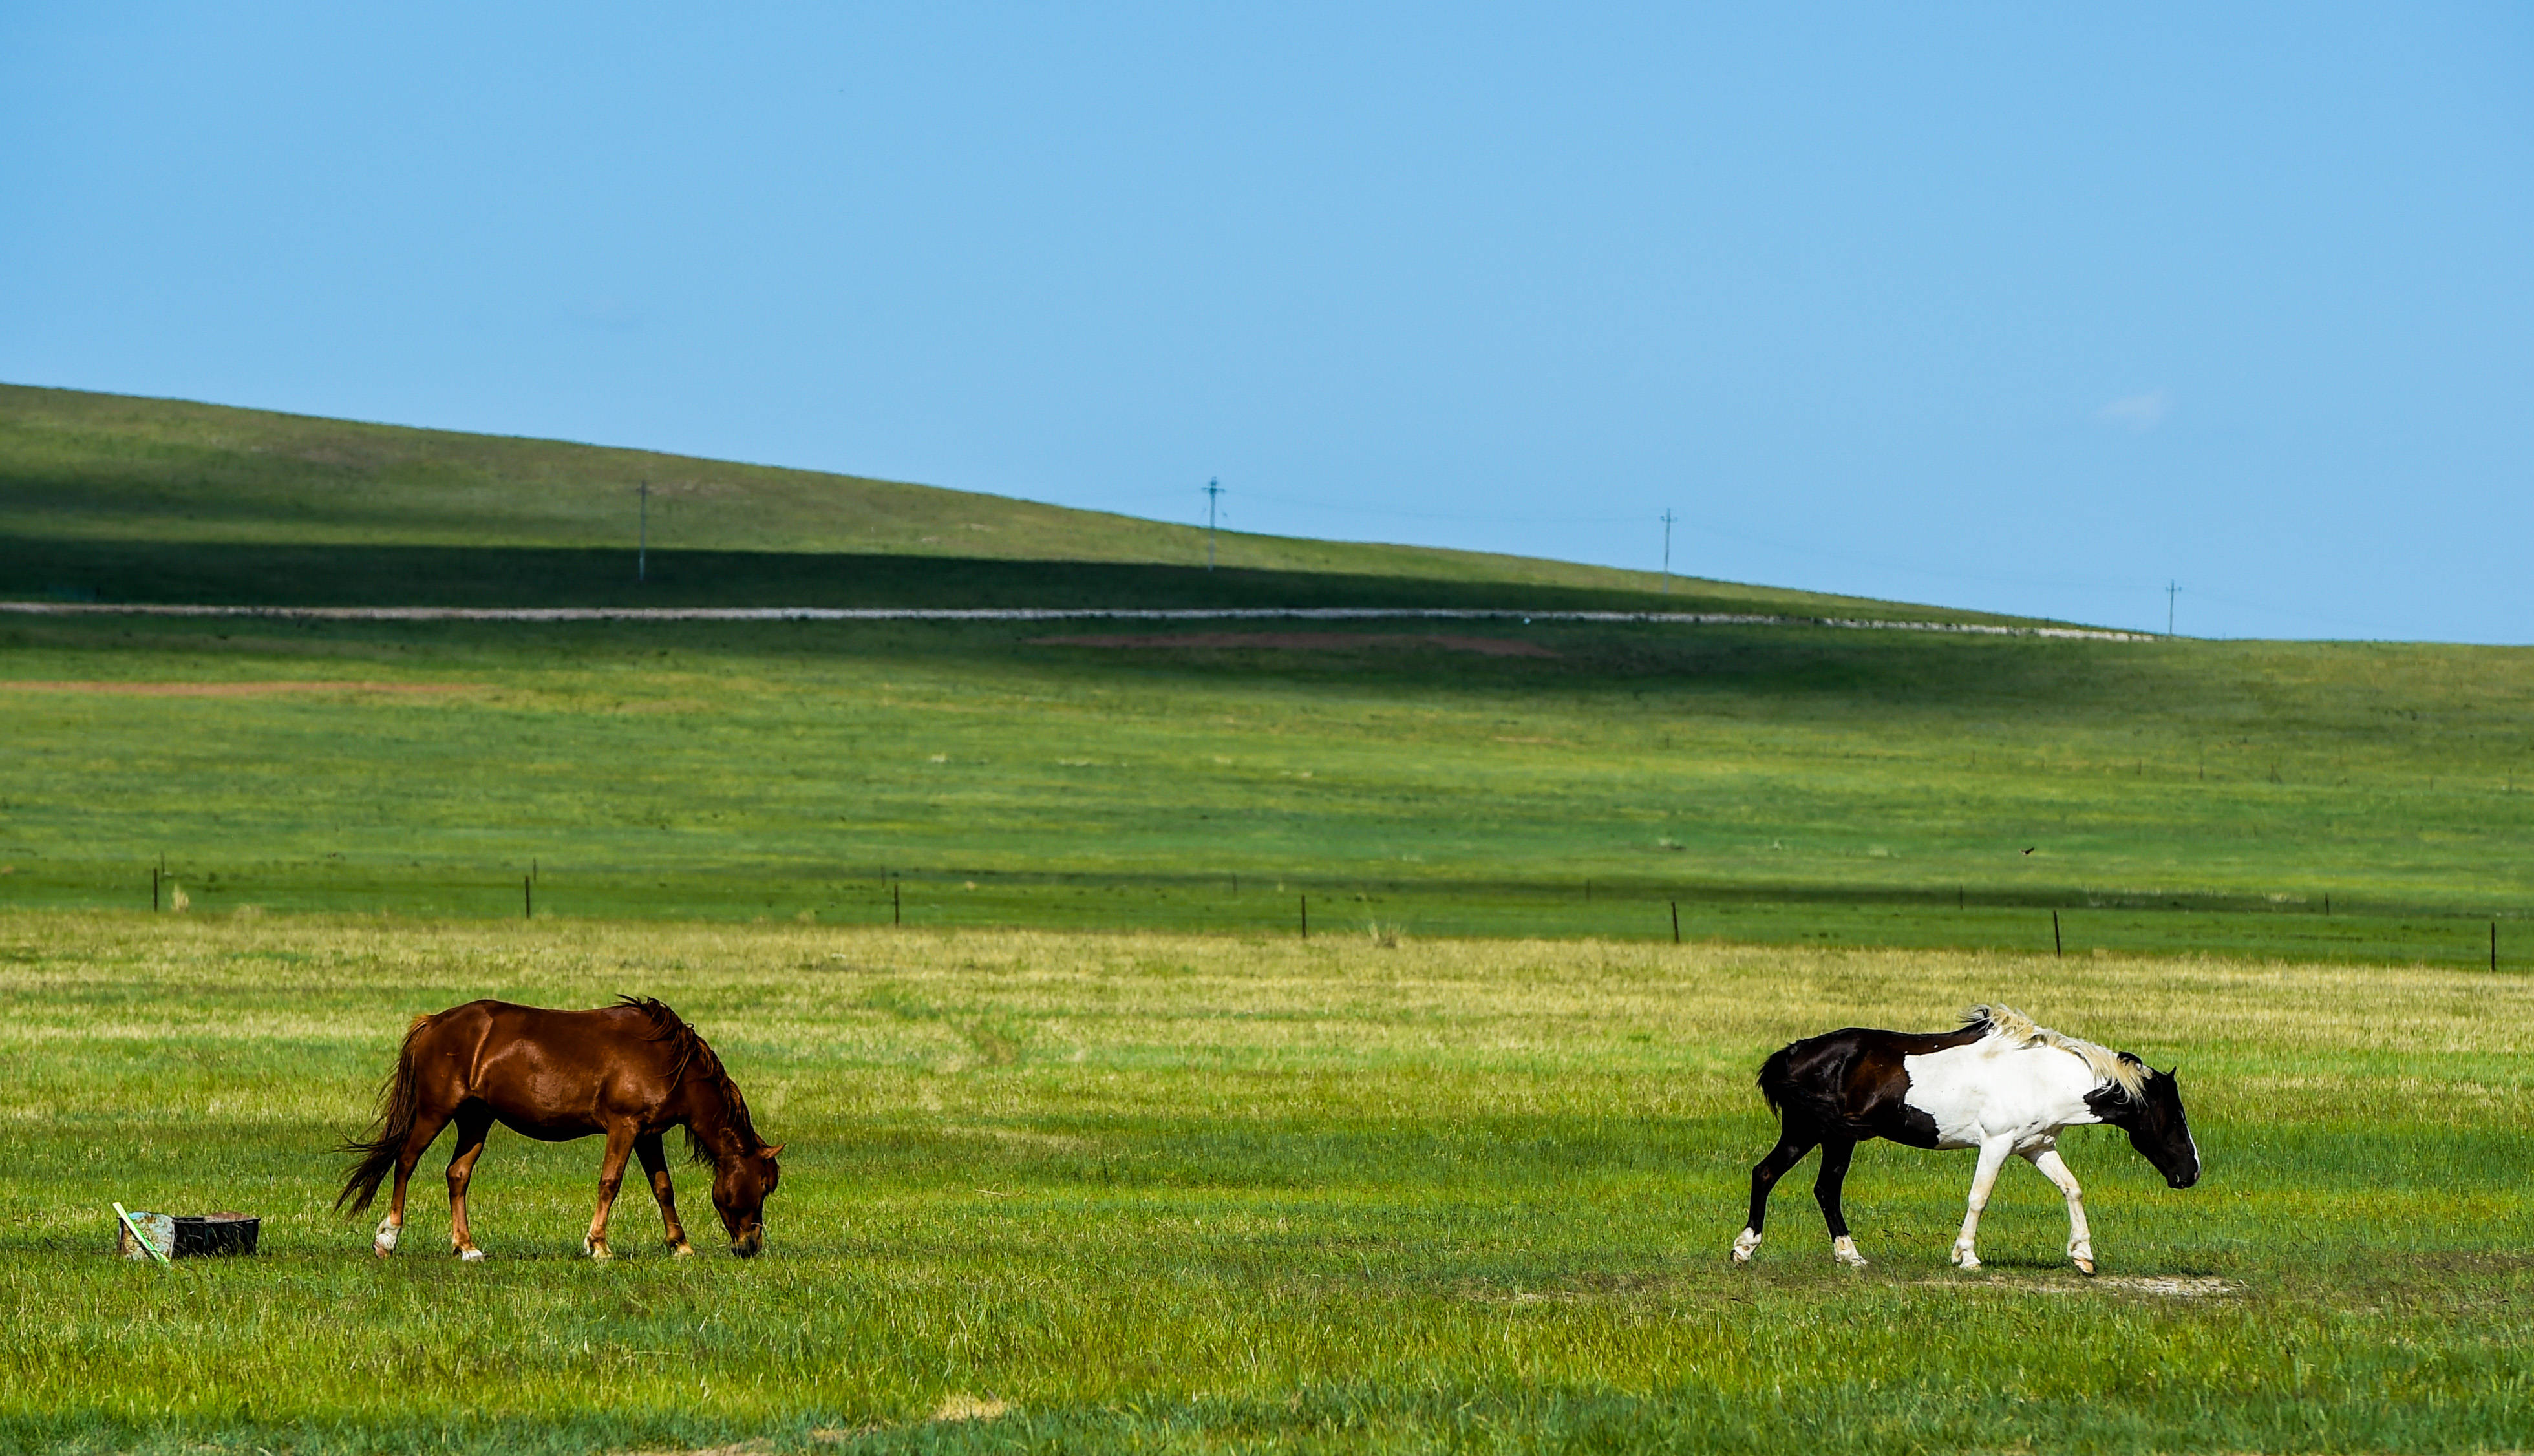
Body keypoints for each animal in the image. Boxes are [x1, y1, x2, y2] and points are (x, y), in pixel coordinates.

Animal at [337, 997, 775, 1261]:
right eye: (763, 1186)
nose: (751, 1245)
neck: (668, 1060)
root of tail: (433, 1023)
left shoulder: (650, 1135)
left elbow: (663, 1188)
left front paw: (680, 1245)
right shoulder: (625, 1127)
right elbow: (610, 1183)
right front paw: (598, 1246)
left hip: (476, 1119)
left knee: (457, 1175)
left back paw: (467, 1247)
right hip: (435, 1111)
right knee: (406, 1161)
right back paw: (388, 1237)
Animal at [1743, 1002, 2199, 1276]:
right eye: (2173, 1117)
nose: (2191, 1172)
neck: (2041, 1076)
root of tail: (1795, 1052)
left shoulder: (2037, 1147)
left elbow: (2072, 1189)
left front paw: (2083, 1256)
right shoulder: (1997, 1145)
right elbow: (1979, 1198)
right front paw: (1966, 1256)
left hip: (1827, 1137)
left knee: (1809, 1185)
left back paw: (1844, 1255)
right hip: (1815, 1133)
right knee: (1779, 1178)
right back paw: (1748, 1247)